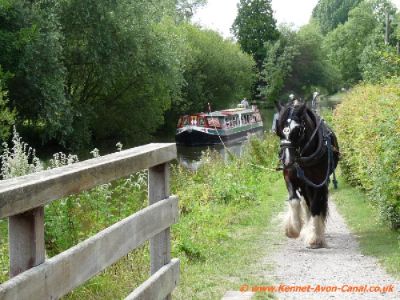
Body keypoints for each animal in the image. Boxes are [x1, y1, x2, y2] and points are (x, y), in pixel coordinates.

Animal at [276, 99, 340, 247]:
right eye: (278, 130)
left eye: (298, 130)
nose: (286, 160)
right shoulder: (289, 176)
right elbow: (294, 200)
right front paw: (293, 229)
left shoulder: (319, 182)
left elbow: (316, 206)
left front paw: (315, 237)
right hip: (304, 184)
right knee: (306, 203)